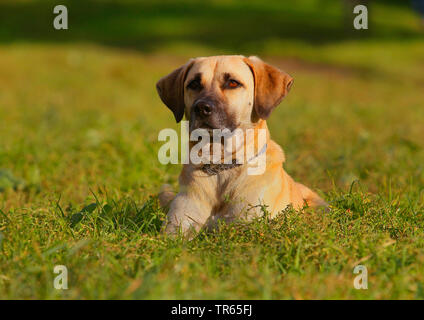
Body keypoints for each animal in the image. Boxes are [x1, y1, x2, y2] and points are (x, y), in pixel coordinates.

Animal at [157, 55, 326, 236]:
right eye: (194, 84)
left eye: (232, 83)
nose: (201, 108)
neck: (220, 164)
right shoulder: (177, 226)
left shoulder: (247, 227)